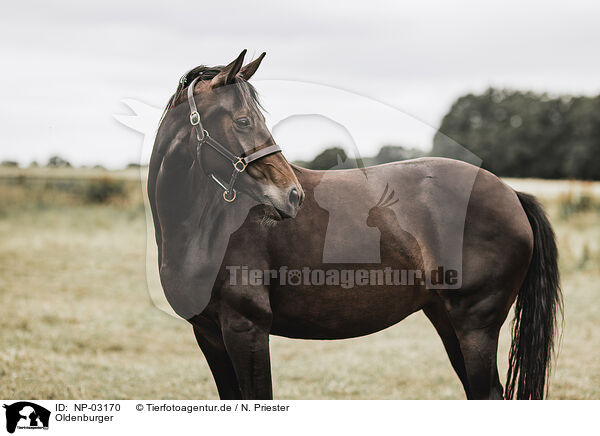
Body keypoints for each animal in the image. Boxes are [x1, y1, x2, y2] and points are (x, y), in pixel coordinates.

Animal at [149, 50, 564, 398]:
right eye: (242, 120)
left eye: (253, 118)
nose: (293, 195)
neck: (205, 228)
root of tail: (511, 193)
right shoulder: (209, 334)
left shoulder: (246, 329)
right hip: (447, 319)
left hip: (475, 325)